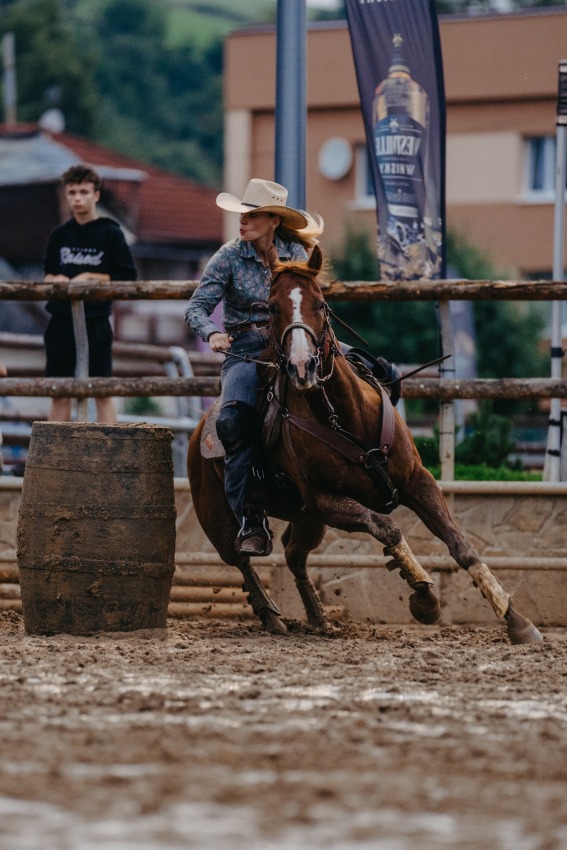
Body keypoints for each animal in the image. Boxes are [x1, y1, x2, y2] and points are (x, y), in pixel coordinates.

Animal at [189, 245, 544, 644]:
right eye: (272, 307)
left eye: (321, 304)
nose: (303, 367)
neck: (345, 417)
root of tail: (198, 431)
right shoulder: (327, 501)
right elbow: (387, 528)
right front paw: (424, 597)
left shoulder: (418, 481)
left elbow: (460, 545)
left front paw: (517, 621)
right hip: (219, 519)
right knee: (241, 558)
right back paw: (271, 615)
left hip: (307, 519)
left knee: (295, 555)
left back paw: (318, 618)